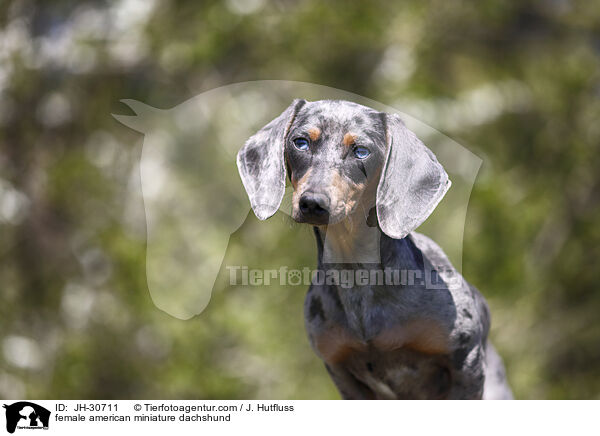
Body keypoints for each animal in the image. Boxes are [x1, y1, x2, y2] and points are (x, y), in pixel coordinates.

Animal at [234, 99, 510, 398]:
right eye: (301, 142)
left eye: (361, 151)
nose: (312, 203)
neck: (356, 274)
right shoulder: (342, 373)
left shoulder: (466, 362)